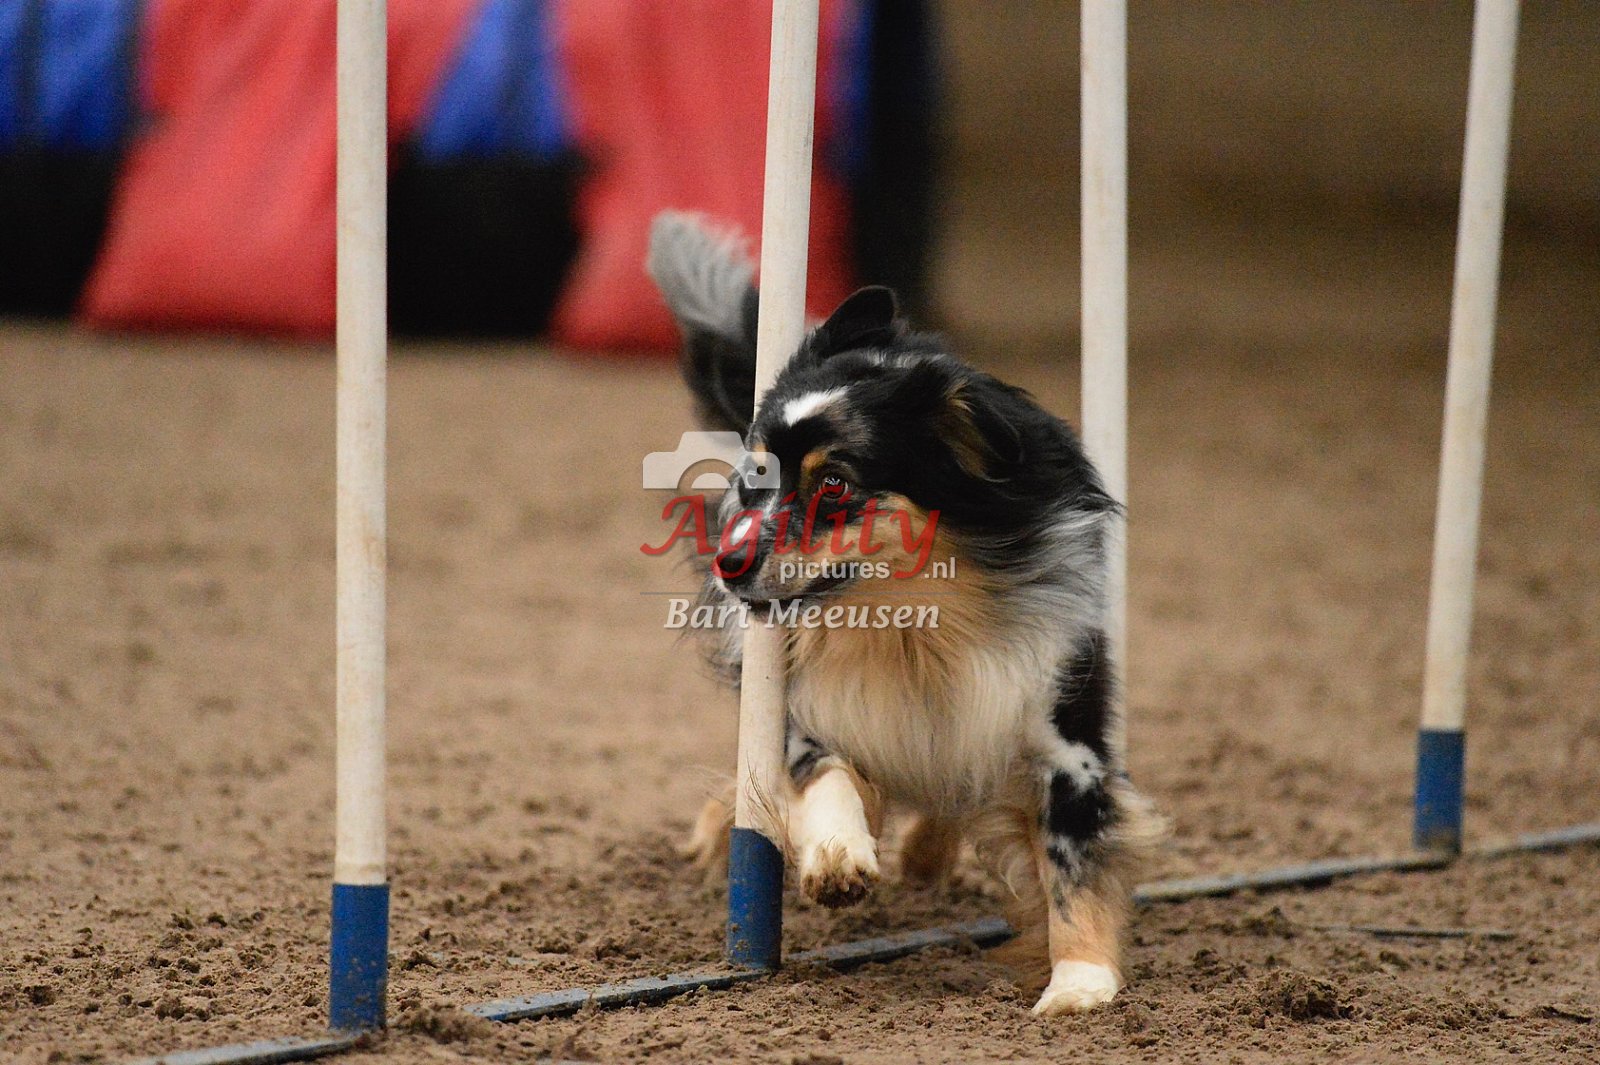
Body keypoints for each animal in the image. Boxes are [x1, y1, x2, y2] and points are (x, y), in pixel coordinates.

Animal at [646, 212, 1162, 1015]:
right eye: (755, 474)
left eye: (834, 484)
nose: (730, 564)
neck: (914, 623)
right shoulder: (800, 705)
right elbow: (820, 769)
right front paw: (837, 857)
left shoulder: (1061, 726)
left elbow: (1074, 858)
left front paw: (1079, 983)